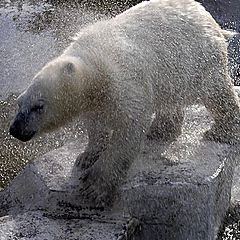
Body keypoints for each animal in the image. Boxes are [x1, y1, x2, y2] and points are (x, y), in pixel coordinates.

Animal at [8, 0, 240, 206]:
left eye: (38, 106)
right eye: (19, 103)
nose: (15, 129)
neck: (95, 66)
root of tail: (207, 16)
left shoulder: (123, 81)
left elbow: (127, 131)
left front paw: (94, 187)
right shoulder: (95, 100)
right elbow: (95, 125)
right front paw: (86, 156)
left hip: (199, 58)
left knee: (216, 93)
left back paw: (221, 131)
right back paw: (162, 130)